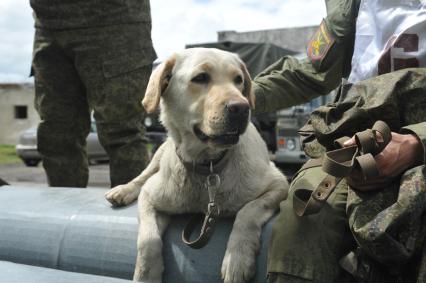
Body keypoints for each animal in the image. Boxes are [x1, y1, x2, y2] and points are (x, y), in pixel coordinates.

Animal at [105, 48, 288, 283]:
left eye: (238, 80)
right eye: (200, 78)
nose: (241, 108)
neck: (206, 165)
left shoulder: (278, 183)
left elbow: (248, 211)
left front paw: (237, 259)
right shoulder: (150, 195)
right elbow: (148, 238)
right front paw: (147, 272)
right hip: (160, 153)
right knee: (144, 175)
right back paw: (122, 190)